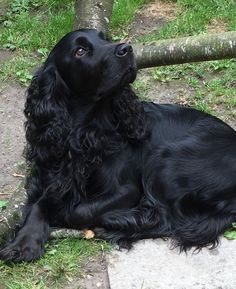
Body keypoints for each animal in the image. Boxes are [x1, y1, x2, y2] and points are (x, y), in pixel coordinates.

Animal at [0, 29, 236, 260]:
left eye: (106, 38)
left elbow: (75, 210)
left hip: (166, 162)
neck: (86, 132)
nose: (126, 48)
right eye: (80, 50)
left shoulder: (127, 189)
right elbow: (40, 202)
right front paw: (25, 241)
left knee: (165, 218)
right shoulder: (51, 175)